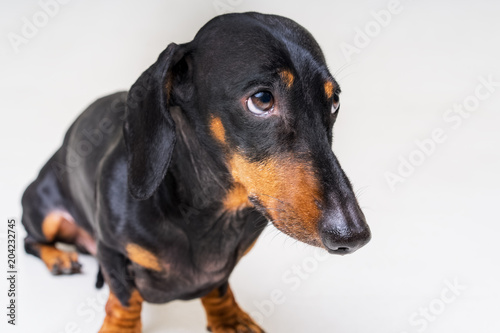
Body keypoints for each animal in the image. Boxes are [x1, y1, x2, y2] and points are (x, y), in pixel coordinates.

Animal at [20, 11, 372, 330]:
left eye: (334, 102)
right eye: (261, 99)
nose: (354, 236)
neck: (209, 212)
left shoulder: (222, 268)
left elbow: (218, 287)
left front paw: (228, 319)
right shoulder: (110, 250)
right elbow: (124, 298)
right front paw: (120, 326)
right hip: (42, 212)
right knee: (30, 240)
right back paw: (59, 258)